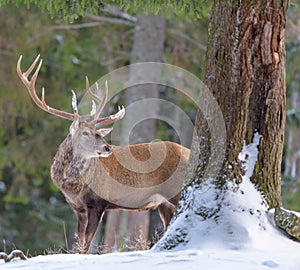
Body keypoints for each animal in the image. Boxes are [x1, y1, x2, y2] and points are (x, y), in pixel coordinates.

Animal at [16, 55, 190, 253]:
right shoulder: (77, 209)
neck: (73, 186)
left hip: (176, 190)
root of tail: (190, 152)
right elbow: (79, 242)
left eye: (98, 132)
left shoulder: (98, 203)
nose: (108, 148)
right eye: (85, 133)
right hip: (164, 203)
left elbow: (86, 244)